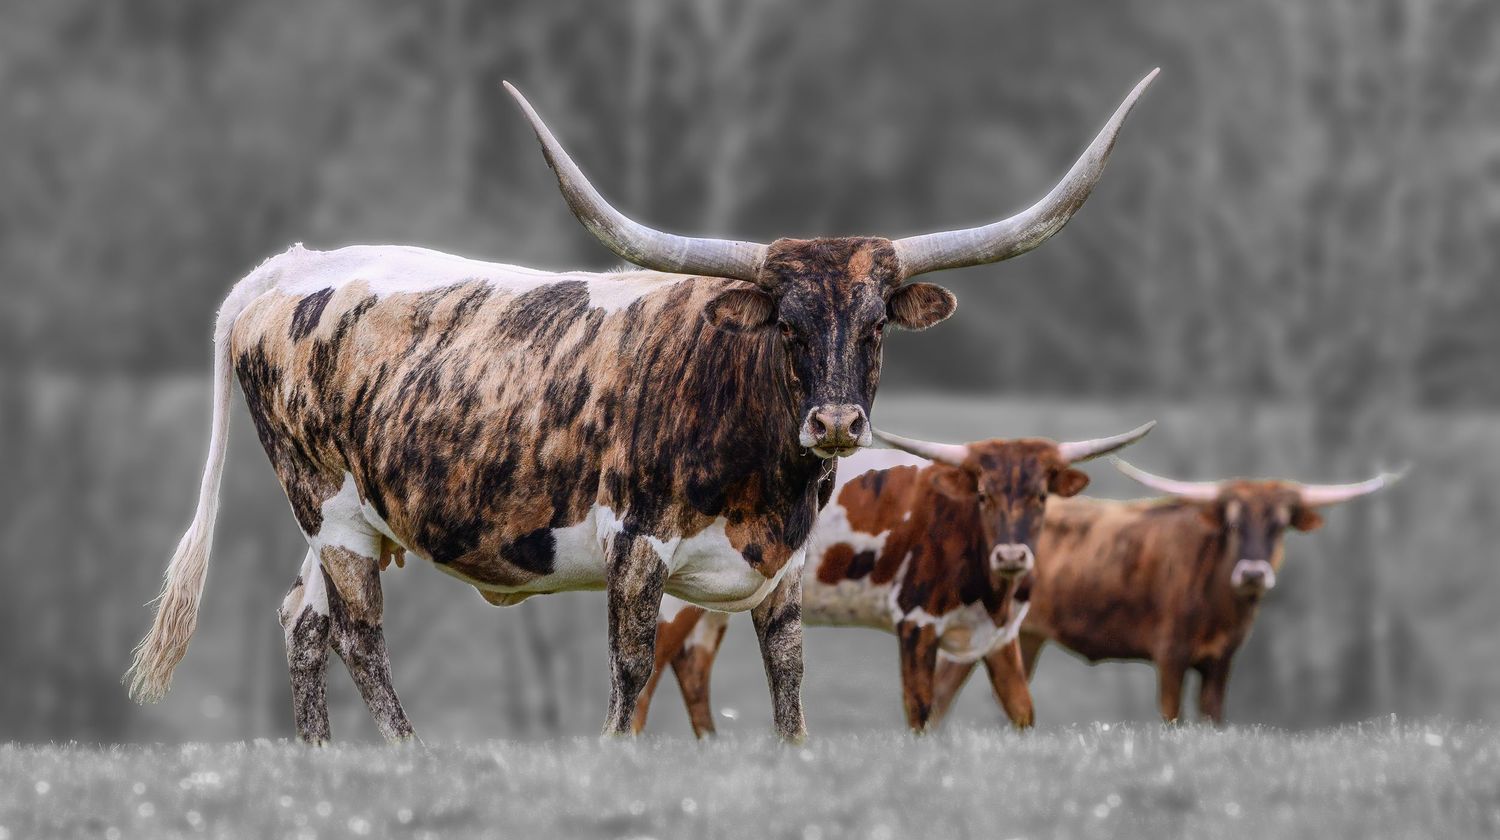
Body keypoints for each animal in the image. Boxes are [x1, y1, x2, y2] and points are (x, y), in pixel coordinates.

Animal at [630, 421, 1156, 735]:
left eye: (1041, 496)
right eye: (983, 495)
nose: (1011, 555)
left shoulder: (1002, 634)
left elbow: (1021, 708)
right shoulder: (916, 619)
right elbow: (920, 708)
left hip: (716, 602)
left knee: (693, 669)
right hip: (670, 597)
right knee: (650, 672)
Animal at [927, 457, 1402, 726]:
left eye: (1280, 525)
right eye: (1233, 524)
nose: (1252, 573)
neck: (1220, 607)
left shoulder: (1221, 662)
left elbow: (1212, 718)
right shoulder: (1170, 653)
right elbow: (1172, 716)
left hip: (1025, 636)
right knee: (943, 690)